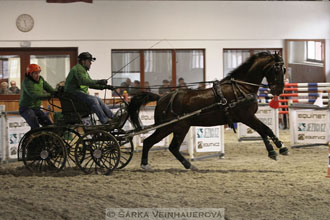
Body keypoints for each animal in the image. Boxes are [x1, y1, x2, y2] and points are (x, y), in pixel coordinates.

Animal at [127, 51, 288, 170]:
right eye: (277, 69)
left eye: (284, 69)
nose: (279, 90)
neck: (241, 87)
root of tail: (161, 98)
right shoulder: (246, 116)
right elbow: (265, 129)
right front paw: (280, 148)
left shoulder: (248, 117)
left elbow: (264, 131)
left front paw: (274, 150)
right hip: (172, 127)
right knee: (156, 143)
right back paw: (149, 164)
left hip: (173, 127)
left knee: (164, 145)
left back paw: (185, 165)